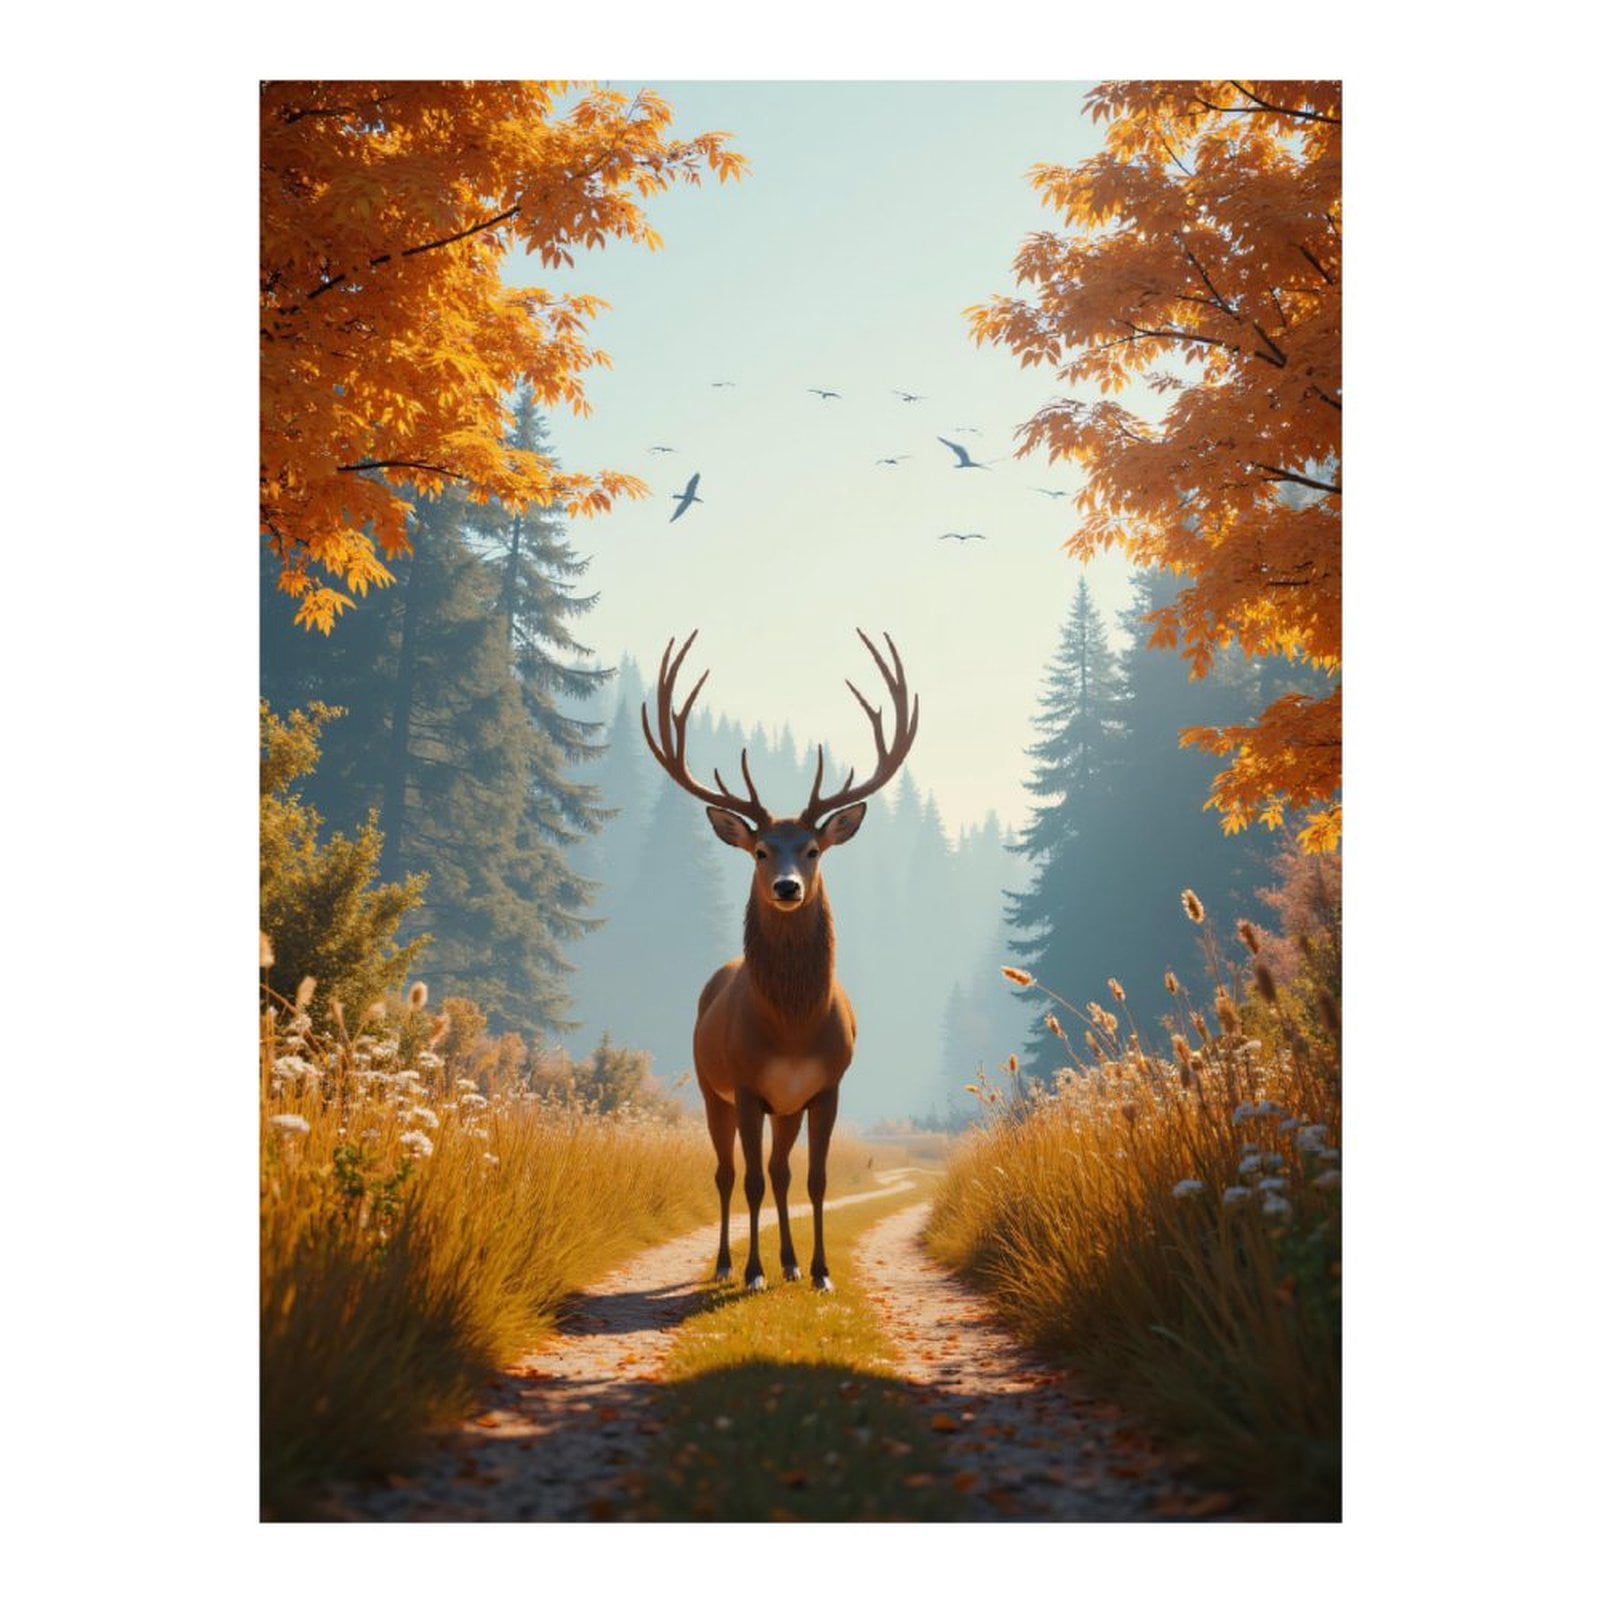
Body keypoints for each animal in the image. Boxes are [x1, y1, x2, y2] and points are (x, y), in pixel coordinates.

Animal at [641, 628, 919, 1292]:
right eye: (761, 850)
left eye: (813, 849)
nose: (788, 887)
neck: (791, 1029)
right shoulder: (744, 1086)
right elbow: (749, 1180)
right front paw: (752, 1273)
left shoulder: (826, 1086)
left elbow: (814, 1180)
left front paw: (817, 1271)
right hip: (710, 1088)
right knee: (727, 1173)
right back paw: (726, 1262)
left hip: (785, 1108)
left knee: (783, 1171)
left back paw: (791, 1261)